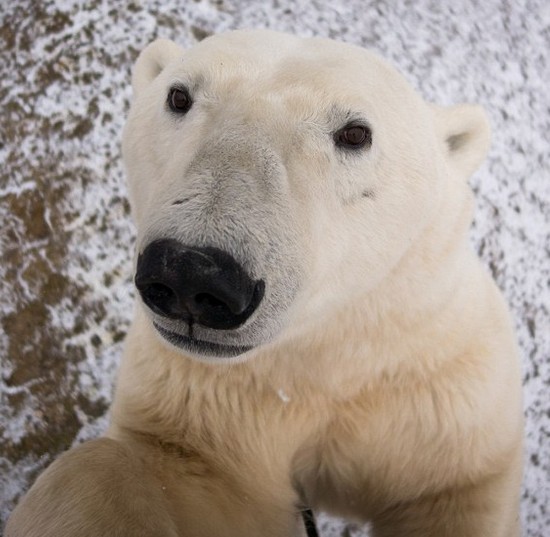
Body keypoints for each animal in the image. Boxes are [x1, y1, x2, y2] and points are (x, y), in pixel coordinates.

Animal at [6, 29, 524, 536]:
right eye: (179, 96)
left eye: (355, 133)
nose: (191, 273)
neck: (314, 352)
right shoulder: (208, 397)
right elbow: (168, 471)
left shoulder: (436, 401)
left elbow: (454, 489)